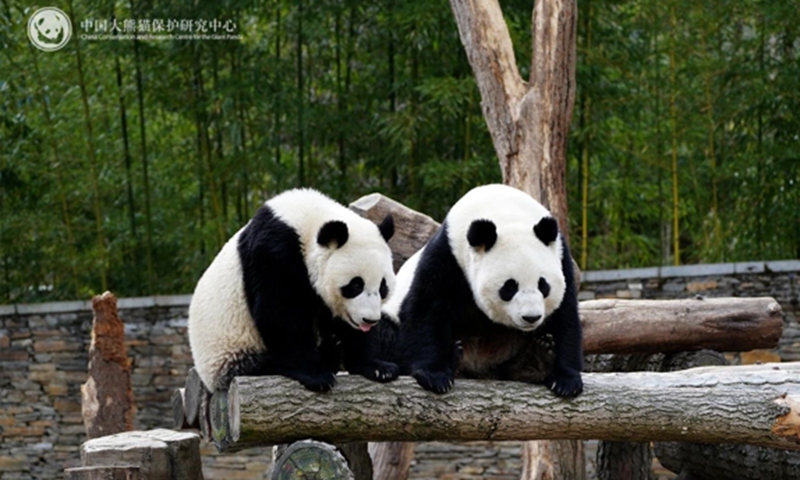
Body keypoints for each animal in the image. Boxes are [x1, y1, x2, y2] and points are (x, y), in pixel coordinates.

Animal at [188, 188, 399, 393]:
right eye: (355, 285)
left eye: (382, 287)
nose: (369, 320)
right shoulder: (272, 252)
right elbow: (279, 312)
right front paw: (316, 375)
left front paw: (377, 367)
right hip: (230, 355)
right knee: (263, 363)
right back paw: (327, 353)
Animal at [382, 184, 583, 397]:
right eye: (509, 287)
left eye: (543, 285)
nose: (531, 318)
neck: (505, 212)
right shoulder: (448, 255)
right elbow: (427, 308)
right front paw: (434, 376)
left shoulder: (562, 258)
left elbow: (565, 316)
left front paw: (565, 380)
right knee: (385, 335)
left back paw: (536, 359)